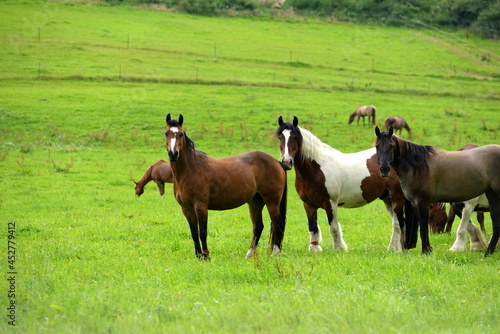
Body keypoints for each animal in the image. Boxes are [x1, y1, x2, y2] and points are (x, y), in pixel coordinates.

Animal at [166, 113, 288, 260]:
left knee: (277, 224)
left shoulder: (201, 207)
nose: (173, 154)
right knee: (258, 226)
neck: (191, 169)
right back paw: (249, 254)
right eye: (166, 133)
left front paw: (206, 257)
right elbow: (194, 233)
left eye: (181, 134)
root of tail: (277, 162)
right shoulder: (187, 209)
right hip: (255, 202)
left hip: (272, 201)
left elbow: (203, 232)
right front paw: (199, 256)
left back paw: (275, 253)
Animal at [276, 116, 416, 252]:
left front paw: (340, 248)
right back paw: (397, 248)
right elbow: (313, 227)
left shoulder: (330, 203)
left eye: (295, 137)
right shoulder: (308, 205)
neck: (317, 168)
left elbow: (333, 227)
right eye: (280, 137)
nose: (287, 162)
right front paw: (314, 248)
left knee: (399, 223)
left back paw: (394, 249)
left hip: (397, 198)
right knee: (396, 222)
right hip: (388, 198)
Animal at [376, 126, 500, 258]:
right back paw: (488, 252)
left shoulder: (422, 202)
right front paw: (428, 249)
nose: (384, 169)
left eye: (391, 146)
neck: (419, 167)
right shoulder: (415, 203)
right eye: (377, 146)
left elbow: (424, 228)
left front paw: (425, 251)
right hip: (492, 196)